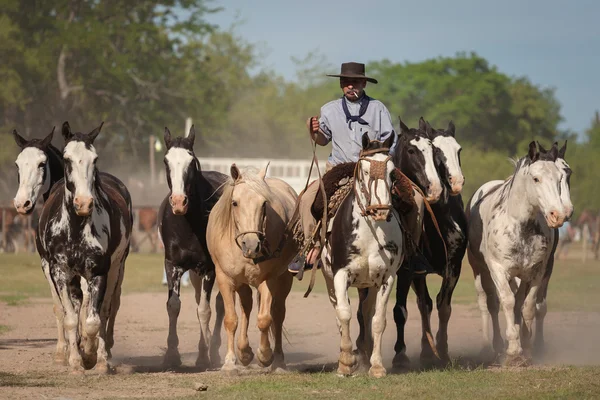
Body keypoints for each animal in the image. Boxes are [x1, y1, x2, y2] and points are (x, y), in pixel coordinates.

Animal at [37, 122, 133, 376]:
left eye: (95, 159)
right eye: (67, 158)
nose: (83, 204)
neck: (76, 228)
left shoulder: (98, 273)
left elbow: (93, 321)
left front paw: (90, 356)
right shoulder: (60, 273)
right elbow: (72, 318)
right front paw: (76, 361)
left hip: (117, 268)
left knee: (107, 309)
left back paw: (102, 358)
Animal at [158, 126, 226, 370]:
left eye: (191, 161)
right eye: (166, 161)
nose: (179, 202)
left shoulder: (209, 269)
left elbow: (205, 310)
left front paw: (205, 355)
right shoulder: (172, 265)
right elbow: (173, 305)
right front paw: (171, 355)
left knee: (219, 304)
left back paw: (213, 349)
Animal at [207, 163, 298, 376]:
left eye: (264, 204)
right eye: (235, 203)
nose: (251, 244)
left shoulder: (269, 279)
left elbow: (265, 319)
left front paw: (265, 356)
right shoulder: (225, 279)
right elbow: (231, 319)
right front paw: (230, 362)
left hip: (284, 279)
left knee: (278, 313)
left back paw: (277, 360)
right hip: (242, 283)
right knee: (246, 306)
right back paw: (244, 352)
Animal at [466, 141, 568, 366]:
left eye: (561, 176)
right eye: (536, 178)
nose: (558, 215)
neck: (519, 225)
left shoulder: (537, 271)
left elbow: (528, 306)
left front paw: (527, 348)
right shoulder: (497, 270)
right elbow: (507, 302)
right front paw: (513, 352)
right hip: (479, 270)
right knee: (487, 304)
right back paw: (491, 346)